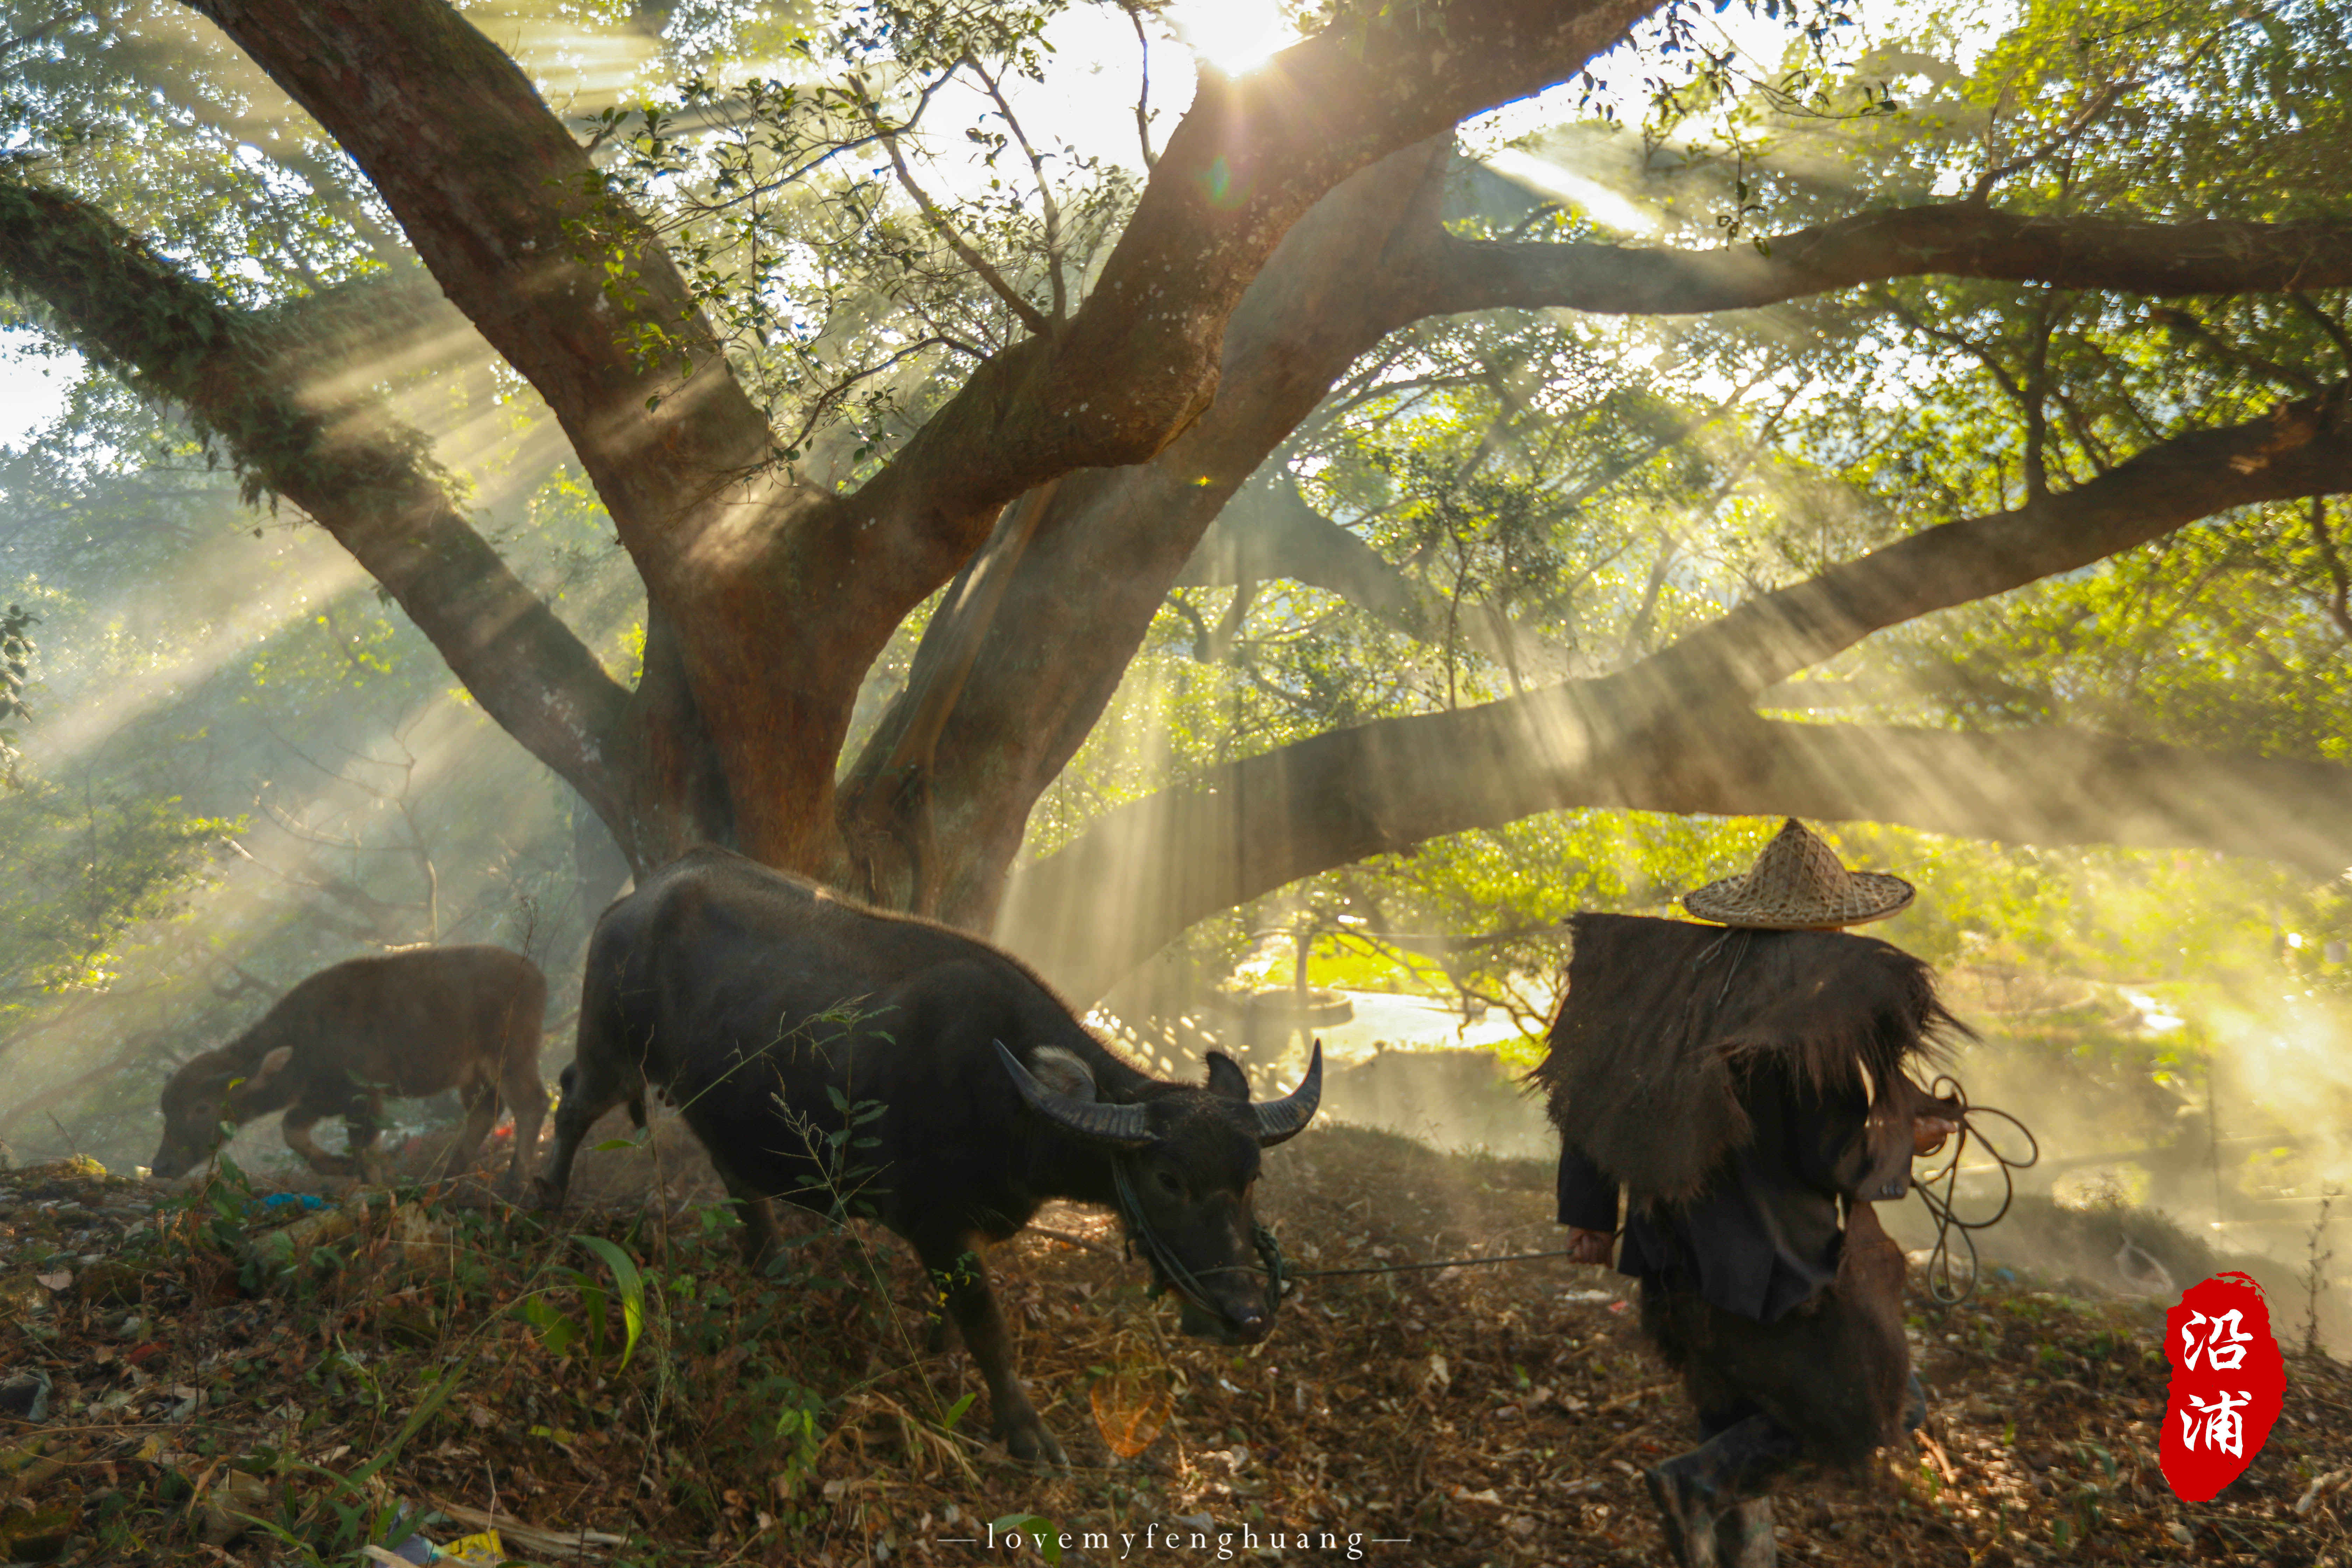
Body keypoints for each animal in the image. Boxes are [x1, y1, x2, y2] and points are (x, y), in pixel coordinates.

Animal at [153, 945, 550, 1189]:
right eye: (167, 1112)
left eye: (201, 1107)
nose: (161, 1167)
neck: (303, 1041)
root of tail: (534, 973)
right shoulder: (322, 1099)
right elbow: (291, 1130)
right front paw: (335, 1166)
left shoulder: (363, 1096)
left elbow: (363, 1147)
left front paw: (374, 1183)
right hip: (474, 1074)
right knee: (487, 1110)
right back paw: (448, 1174)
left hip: (510, 1055)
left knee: (532, 1103)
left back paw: (515, 1180)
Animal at [536, 851, 1336, 1467]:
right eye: (1168, 1178)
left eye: (1252, 1179)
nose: (1247, 1317)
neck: (1013, 1104)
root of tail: (633, 903)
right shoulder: (937, 1226)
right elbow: (988, 1324)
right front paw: (1026, 1432)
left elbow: (957, 1316)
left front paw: (936, 1347)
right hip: (610, 1049)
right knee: (570, 1104)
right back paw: (542, 1209)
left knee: (731, 1169)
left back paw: (769, 1259)